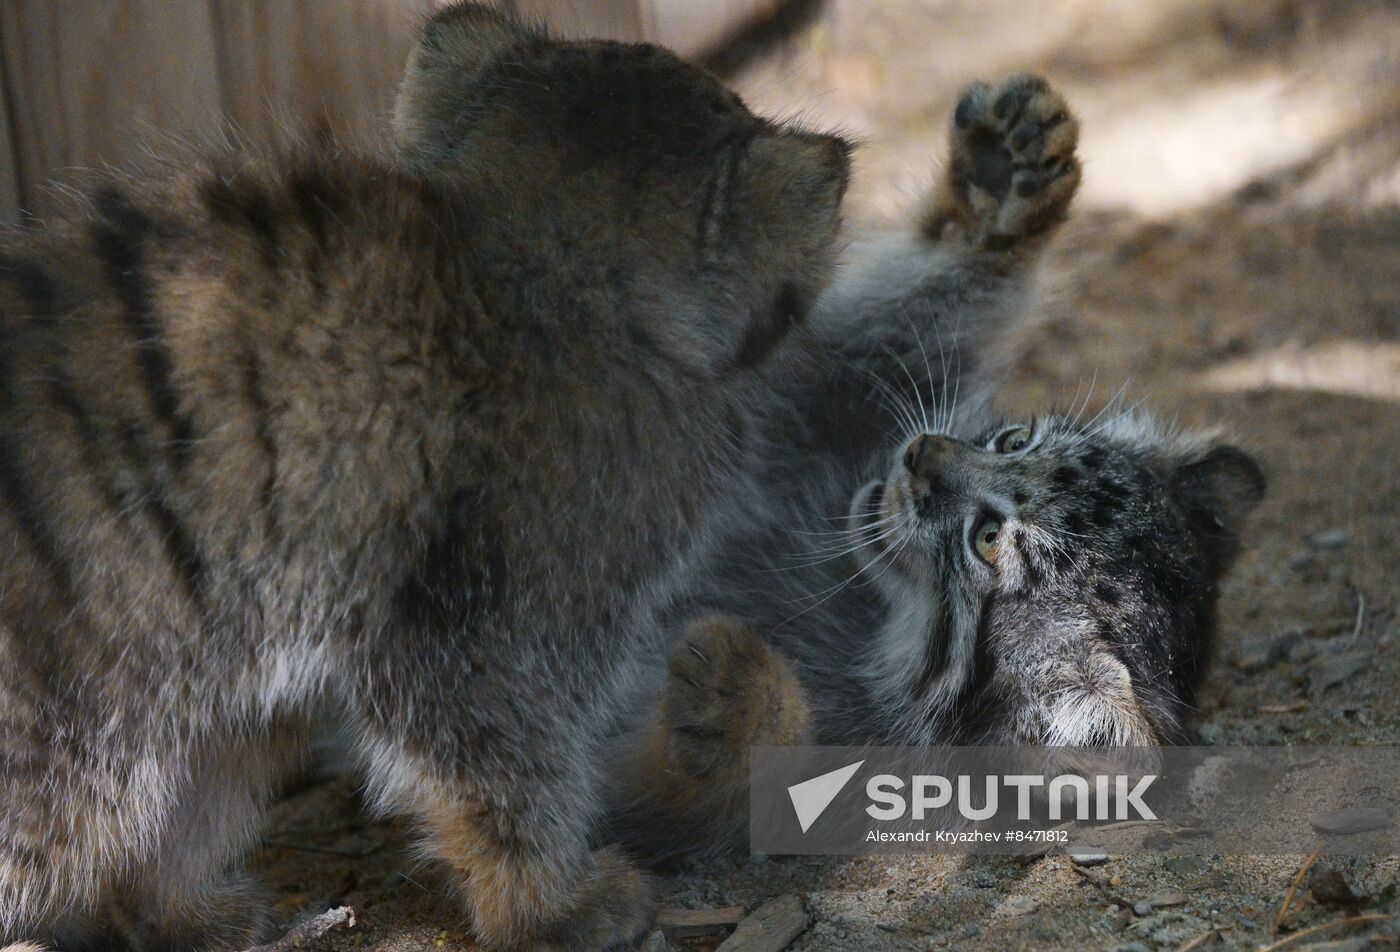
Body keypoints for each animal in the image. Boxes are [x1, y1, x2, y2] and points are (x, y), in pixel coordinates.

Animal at [607, 76, 1265, 862]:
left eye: (987, 540)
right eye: (1013, 439)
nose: (918, 453)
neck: (874, 626)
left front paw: (748, 706)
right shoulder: (814, 428)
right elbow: (892, 330)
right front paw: (1001, 189)